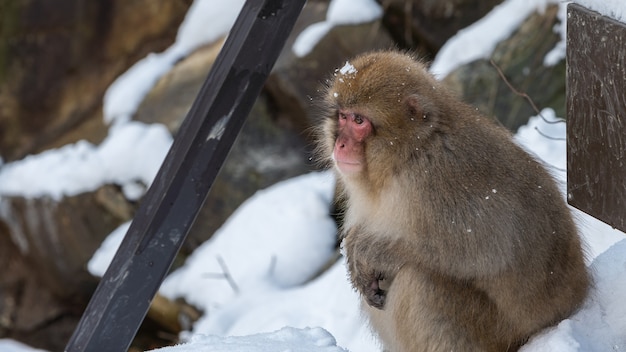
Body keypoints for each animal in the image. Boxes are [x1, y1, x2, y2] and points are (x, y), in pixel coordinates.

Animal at [314, 51, 588, 350]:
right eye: (342, 117)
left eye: (359, 121)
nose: (340, 144)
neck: (407, 155)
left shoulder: (437, 179)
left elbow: (484, 250)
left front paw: (369, 248)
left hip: (496, 331)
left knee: (420, 282)